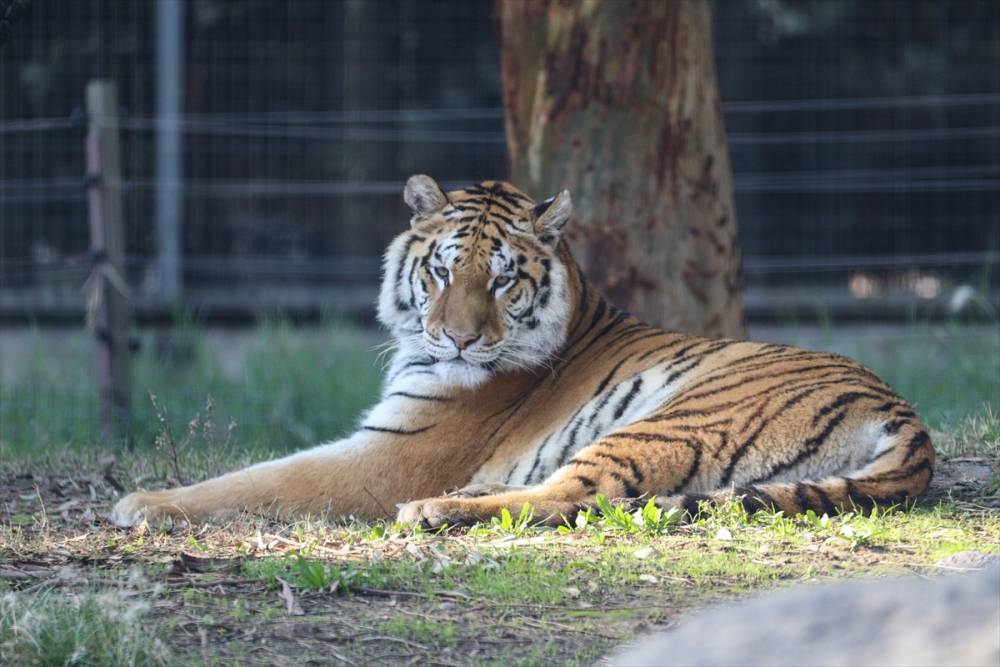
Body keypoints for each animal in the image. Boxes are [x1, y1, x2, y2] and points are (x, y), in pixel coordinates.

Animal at [111, 175, 936, 528]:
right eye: (444, 270)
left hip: (672, 418)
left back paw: (437, 509)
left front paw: (143, 503)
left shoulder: (391, 454)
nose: (459, 337)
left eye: (503, 278)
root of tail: (909, 419)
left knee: (575, 495)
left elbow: (261, 479)